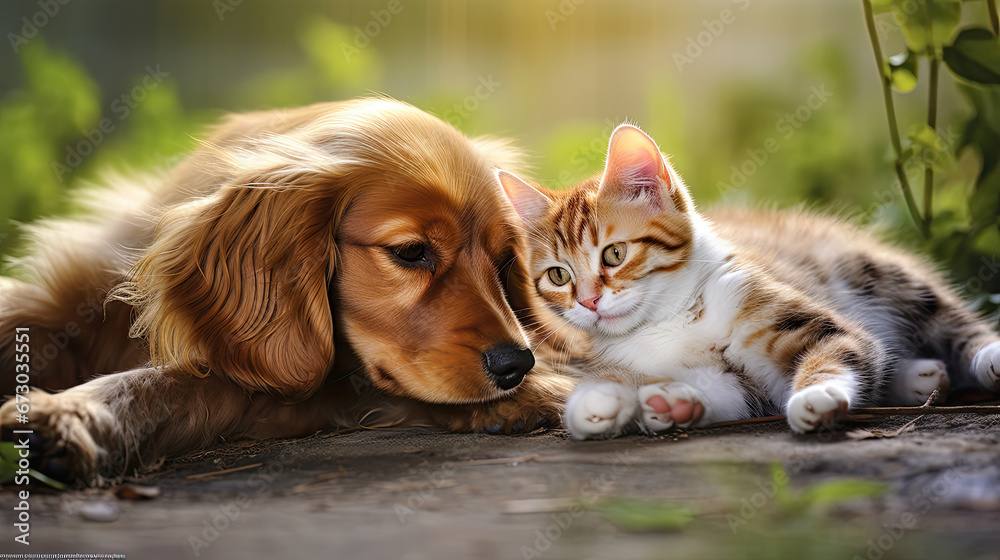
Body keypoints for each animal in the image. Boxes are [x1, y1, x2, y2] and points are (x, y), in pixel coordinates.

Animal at [498, 124, 1000, 440]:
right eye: (558, 275)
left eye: (614, 254)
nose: (588, 302)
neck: (668, 319)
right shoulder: (715, 381)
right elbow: (724, 394)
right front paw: (636, 403)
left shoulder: (797, 315)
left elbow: (840, 346)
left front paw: (817, 393)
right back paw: (919, 376)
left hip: (871, 269)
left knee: (945, 317)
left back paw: (983, 355)